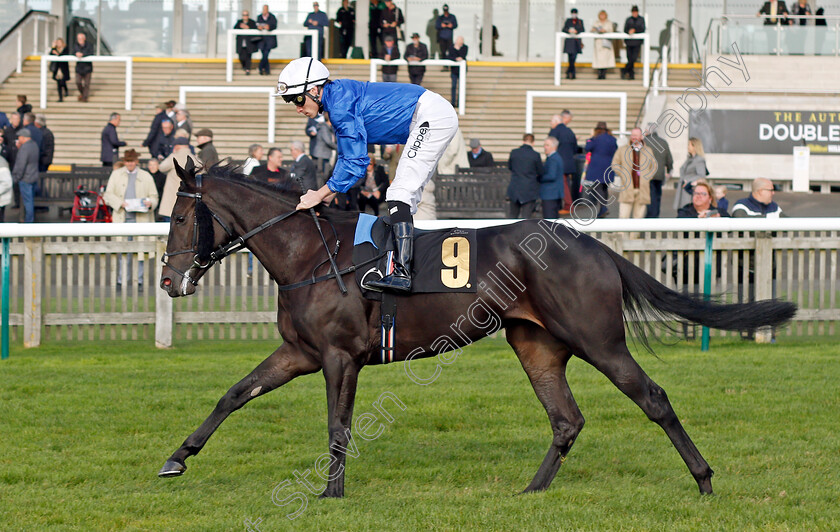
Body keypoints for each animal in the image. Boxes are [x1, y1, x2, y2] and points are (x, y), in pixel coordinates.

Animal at [156, 160, 796, 496]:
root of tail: (595, 246)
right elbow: (233, 395)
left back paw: (704, 480)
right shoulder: (299, 352)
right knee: (567, 419)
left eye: (182, 216)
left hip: (598, 339)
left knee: (654, 398)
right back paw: (533, 491)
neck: (311, 254)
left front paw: (330, 493)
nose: (168, 280)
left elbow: (338, 426)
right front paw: (177, 458)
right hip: (537, 344)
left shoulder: (340, 356)